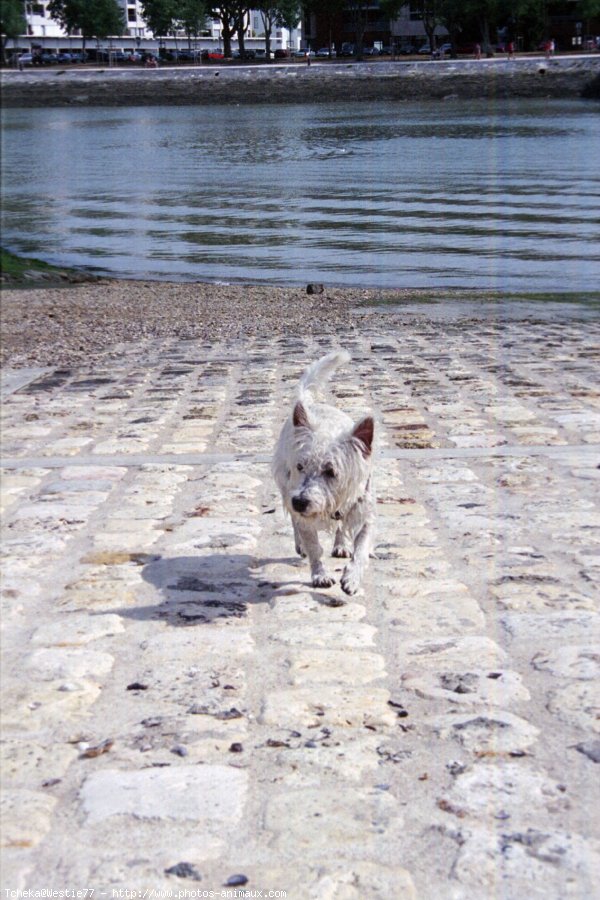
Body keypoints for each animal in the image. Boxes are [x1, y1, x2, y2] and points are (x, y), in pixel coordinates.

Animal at [274, 352, 376, 596]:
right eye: (300, 466)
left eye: (330, 471)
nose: (300, 501)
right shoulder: (301, 511)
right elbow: (313, 546)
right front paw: (320, 575)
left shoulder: (364, 513)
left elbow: (361, 548)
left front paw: (352, 578)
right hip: (286, 486)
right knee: (295, 522)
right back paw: (300, 544)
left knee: (340, 530)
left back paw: (341, 545)